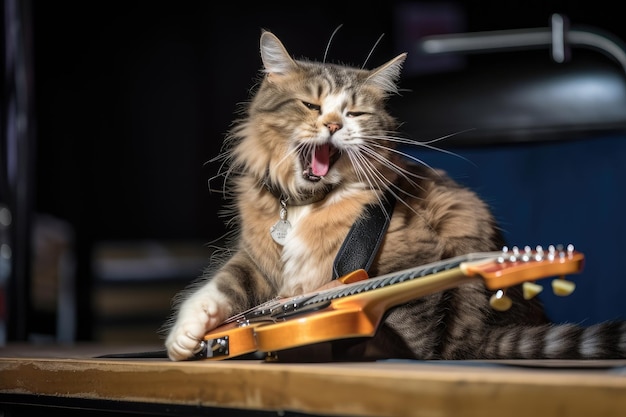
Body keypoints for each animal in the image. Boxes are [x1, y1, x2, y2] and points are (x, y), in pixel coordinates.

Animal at [162, 29, 624, 360]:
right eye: (311, 106)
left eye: (354, 113)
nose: (333, 125)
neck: (306, 203)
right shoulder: (258, 257)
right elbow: (223, 287)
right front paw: (187, 337)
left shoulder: (415, 253)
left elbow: (412, 328)